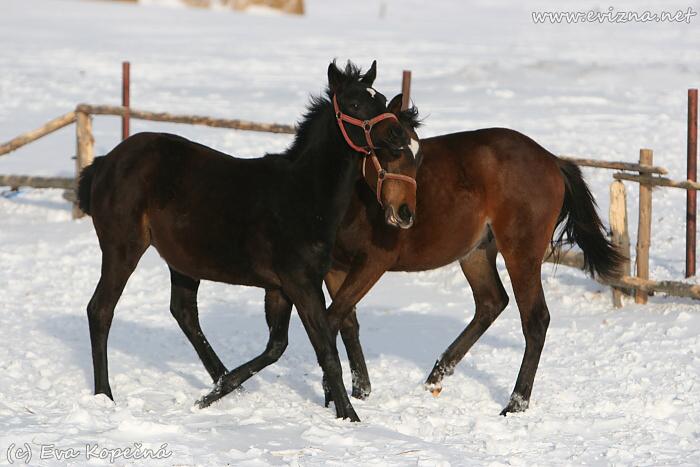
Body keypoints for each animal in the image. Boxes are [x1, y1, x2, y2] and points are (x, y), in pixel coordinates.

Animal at [322, 98, 624, 414]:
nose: (403, 213)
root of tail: (553, 160)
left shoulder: (373, 262)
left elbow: (330, 320)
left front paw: (337, 394)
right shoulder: (335, 267)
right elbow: (345, 321)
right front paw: (357, 392)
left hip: (520, 253)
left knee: (535, 319)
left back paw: (515, 404)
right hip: (475, 253)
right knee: (491, 301)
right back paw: (436, 376)